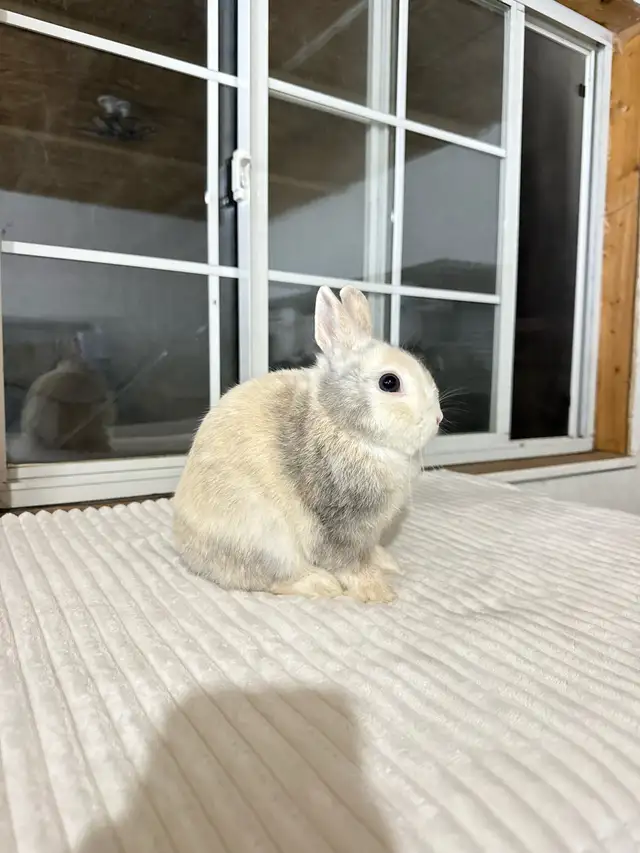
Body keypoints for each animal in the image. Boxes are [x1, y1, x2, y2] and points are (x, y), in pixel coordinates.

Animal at [173, 285, 442, 603]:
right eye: (389, 382)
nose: (438, 418)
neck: (344, 425)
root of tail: (186, 550)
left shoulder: (368, 532)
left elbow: (369, 552)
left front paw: (388, 564)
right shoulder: (338, 524)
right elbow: (348, 562)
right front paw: (377, 591)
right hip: (266, 540)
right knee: (274, 580)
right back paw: (320, 584)